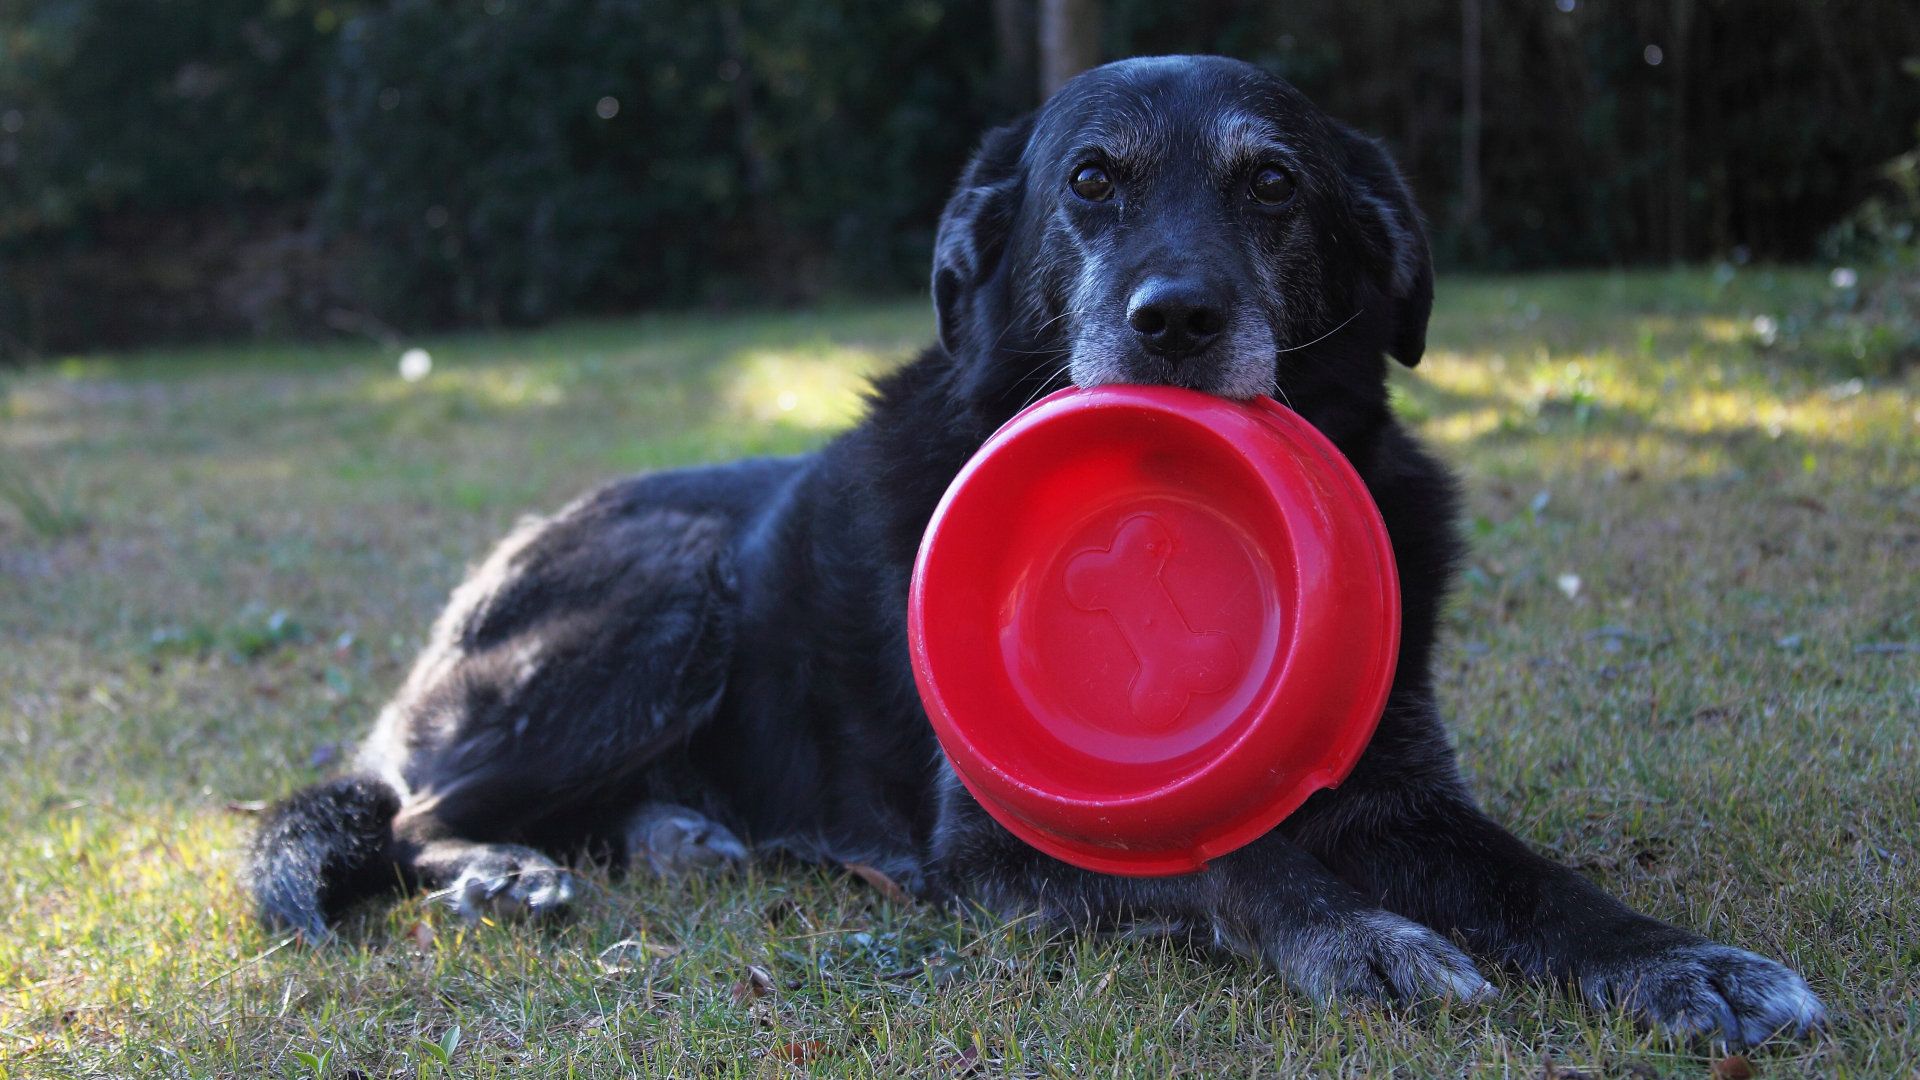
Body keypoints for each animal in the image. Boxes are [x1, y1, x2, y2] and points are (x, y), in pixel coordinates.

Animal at [247, 52, 1820, 1045]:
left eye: (1273, 186)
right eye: (1091, 182)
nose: (1176, 321)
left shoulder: (1405, 795)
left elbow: (1541, 886)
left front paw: (1688, 965)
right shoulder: (999, 850)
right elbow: (1237, 865)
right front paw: (1359, 933)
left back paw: (673, 835)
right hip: (670, 594)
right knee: (412, 815)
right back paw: (516, 869)